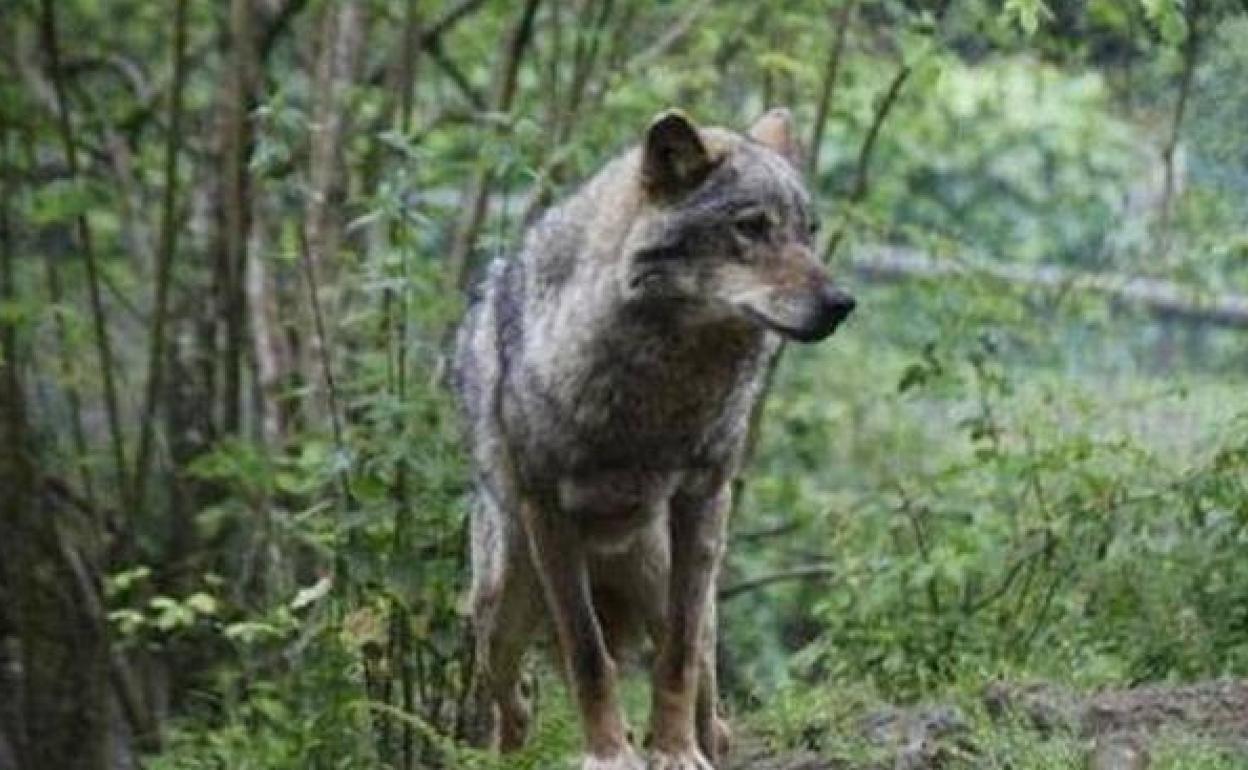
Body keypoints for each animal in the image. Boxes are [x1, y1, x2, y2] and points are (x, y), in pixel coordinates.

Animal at [452, 108, 854, 770]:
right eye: (751, 227)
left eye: (809, 231)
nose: (842, 304)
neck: (659, 395)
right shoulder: (547, 509)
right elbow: (590, 659)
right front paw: (611, 754)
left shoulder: (704, 497)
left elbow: (678, 659)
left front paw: (674, 751)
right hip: (501, 612)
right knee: (517, 705)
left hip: (676, 588)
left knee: (709, 694)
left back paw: (705, 741)